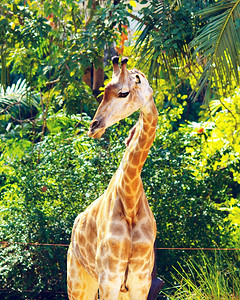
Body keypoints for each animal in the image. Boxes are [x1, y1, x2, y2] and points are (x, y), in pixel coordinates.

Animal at [66, 56, 158, 300]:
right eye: (105, 91)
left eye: (123, 93)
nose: (93, 127)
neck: (130, 203)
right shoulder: (109, 279)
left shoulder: (140, 282)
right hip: (78, 282)